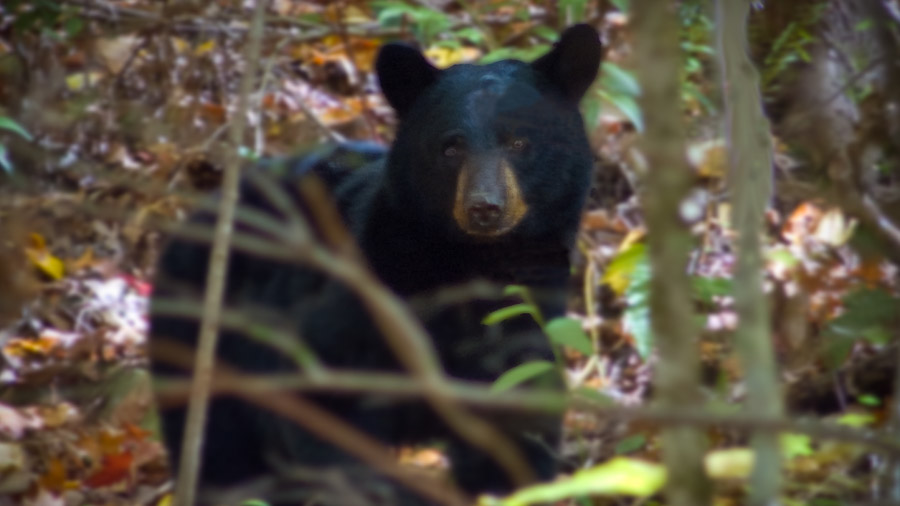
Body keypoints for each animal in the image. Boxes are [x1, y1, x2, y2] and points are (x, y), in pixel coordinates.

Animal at [151, 24, 604, 506]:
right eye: (451, 147)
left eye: (520, 142)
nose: (484, 207)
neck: (470, 268)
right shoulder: (358, 315)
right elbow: (329, 420)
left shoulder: (523, 335)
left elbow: (515, 441)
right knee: (219, 453)